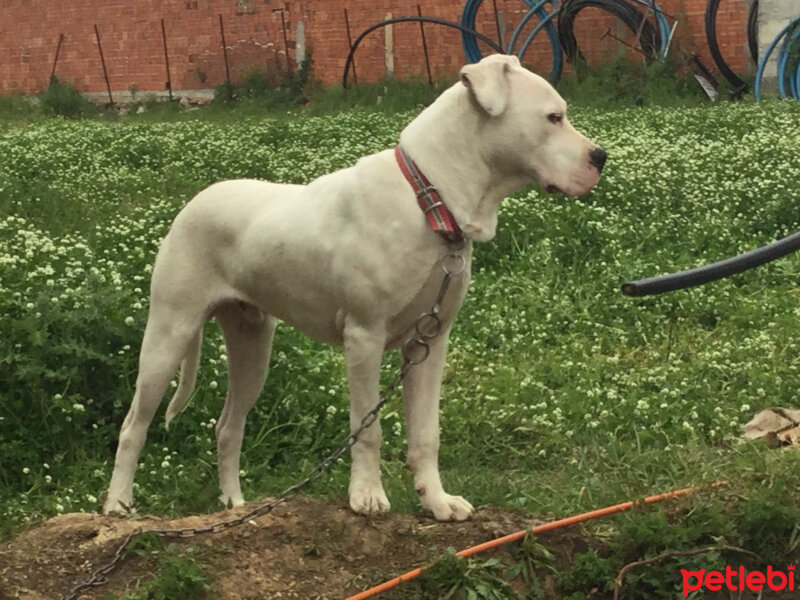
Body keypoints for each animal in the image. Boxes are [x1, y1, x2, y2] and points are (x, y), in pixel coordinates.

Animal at [106, 55, 608, 520]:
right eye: (553, 117)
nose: (600, 157)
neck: (430, 200)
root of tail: (192, 202)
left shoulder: (430, 343)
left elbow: (426, 434)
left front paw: (437, 502)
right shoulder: (364, 338)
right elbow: (369, 429)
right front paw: (366, 496)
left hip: (252, 347)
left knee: (228, 427)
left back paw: (234, 505)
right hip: (168, 335)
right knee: (134, 425)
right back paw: (117, 505)